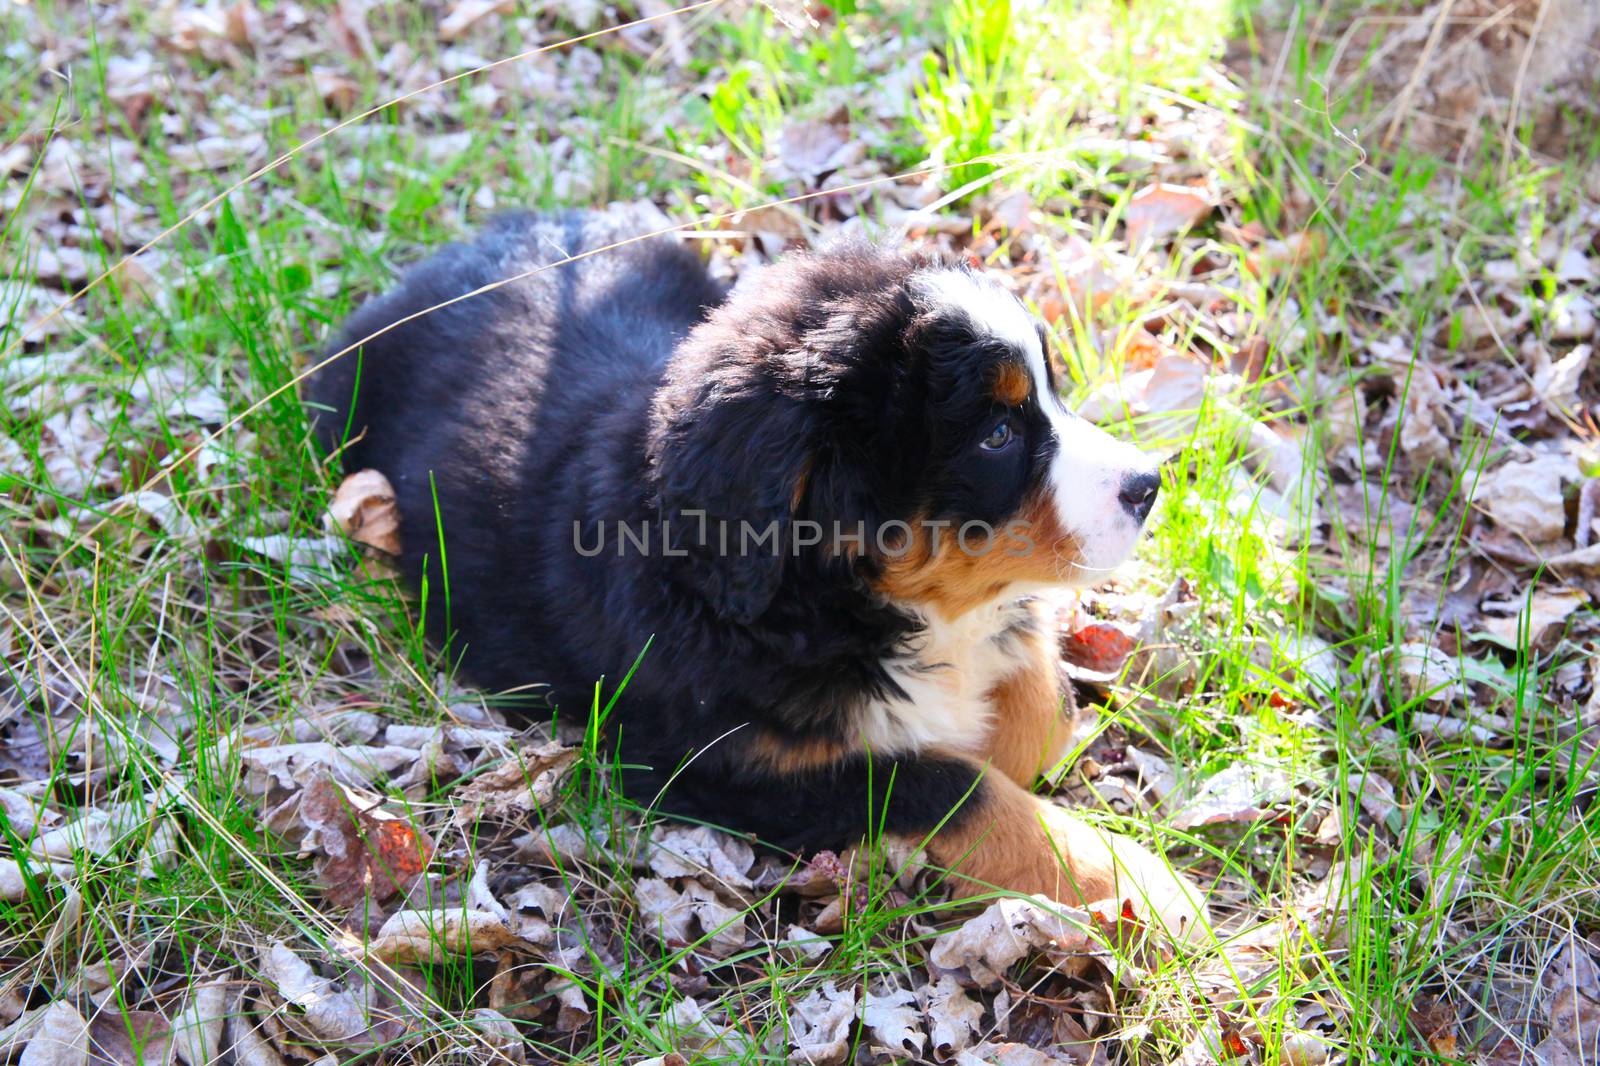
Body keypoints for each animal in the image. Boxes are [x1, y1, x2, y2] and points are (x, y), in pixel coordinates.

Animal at [312, 204, 1203, 928]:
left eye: (1050, 394)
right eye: (998, 434)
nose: (1149, 485)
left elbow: (1038, 706)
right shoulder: (724, 762)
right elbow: (950, 786)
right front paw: (1137, 888)